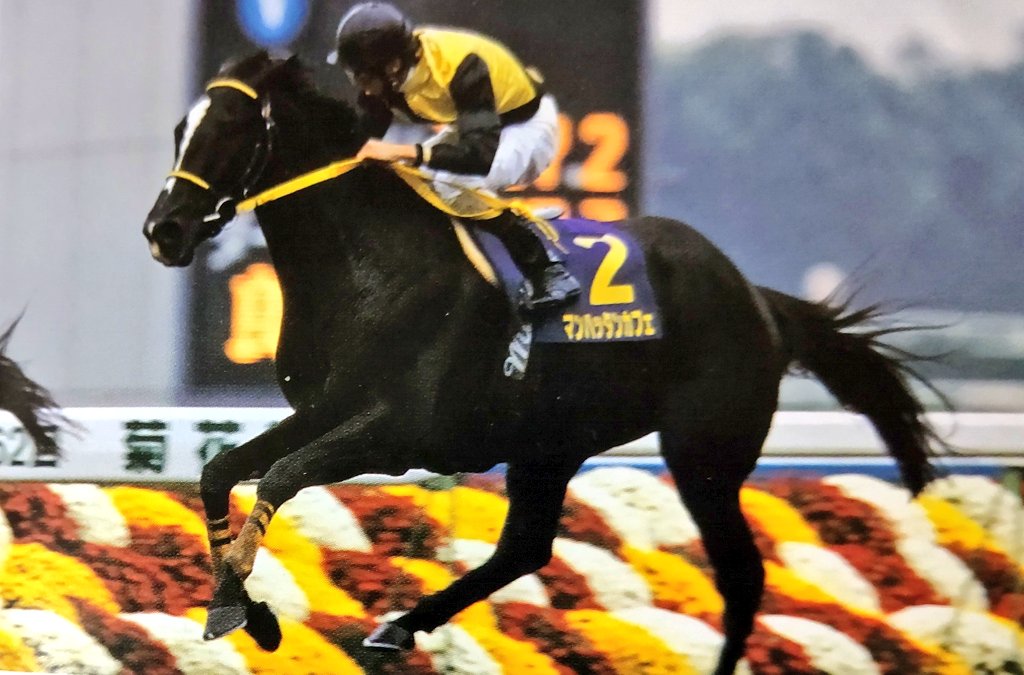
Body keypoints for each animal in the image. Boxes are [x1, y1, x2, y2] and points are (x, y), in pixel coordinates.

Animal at [142, 52, 938, 674]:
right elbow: (220, 471)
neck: (367, 267)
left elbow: (281, 474)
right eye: (180, 130)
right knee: (526, 546)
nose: (165, 230)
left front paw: (239, 605)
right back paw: (397, 627)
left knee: (741, 577)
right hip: (550, 443)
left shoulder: (395, 430)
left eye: (232, 129)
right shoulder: (324, 409)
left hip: (705, 453)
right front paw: (244, 608)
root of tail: (755, 297)